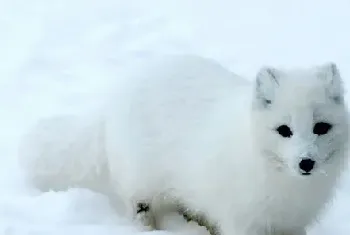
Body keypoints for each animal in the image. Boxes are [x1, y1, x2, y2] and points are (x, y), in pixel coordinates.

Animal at [19, 55, 350, 235]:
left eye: (321, 128)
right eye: (284, 130)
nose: (306, 163)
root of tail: (113, 99)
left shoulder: (293, 224)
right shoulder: (244, 222)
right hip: (141, 181)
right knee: (138, 205)